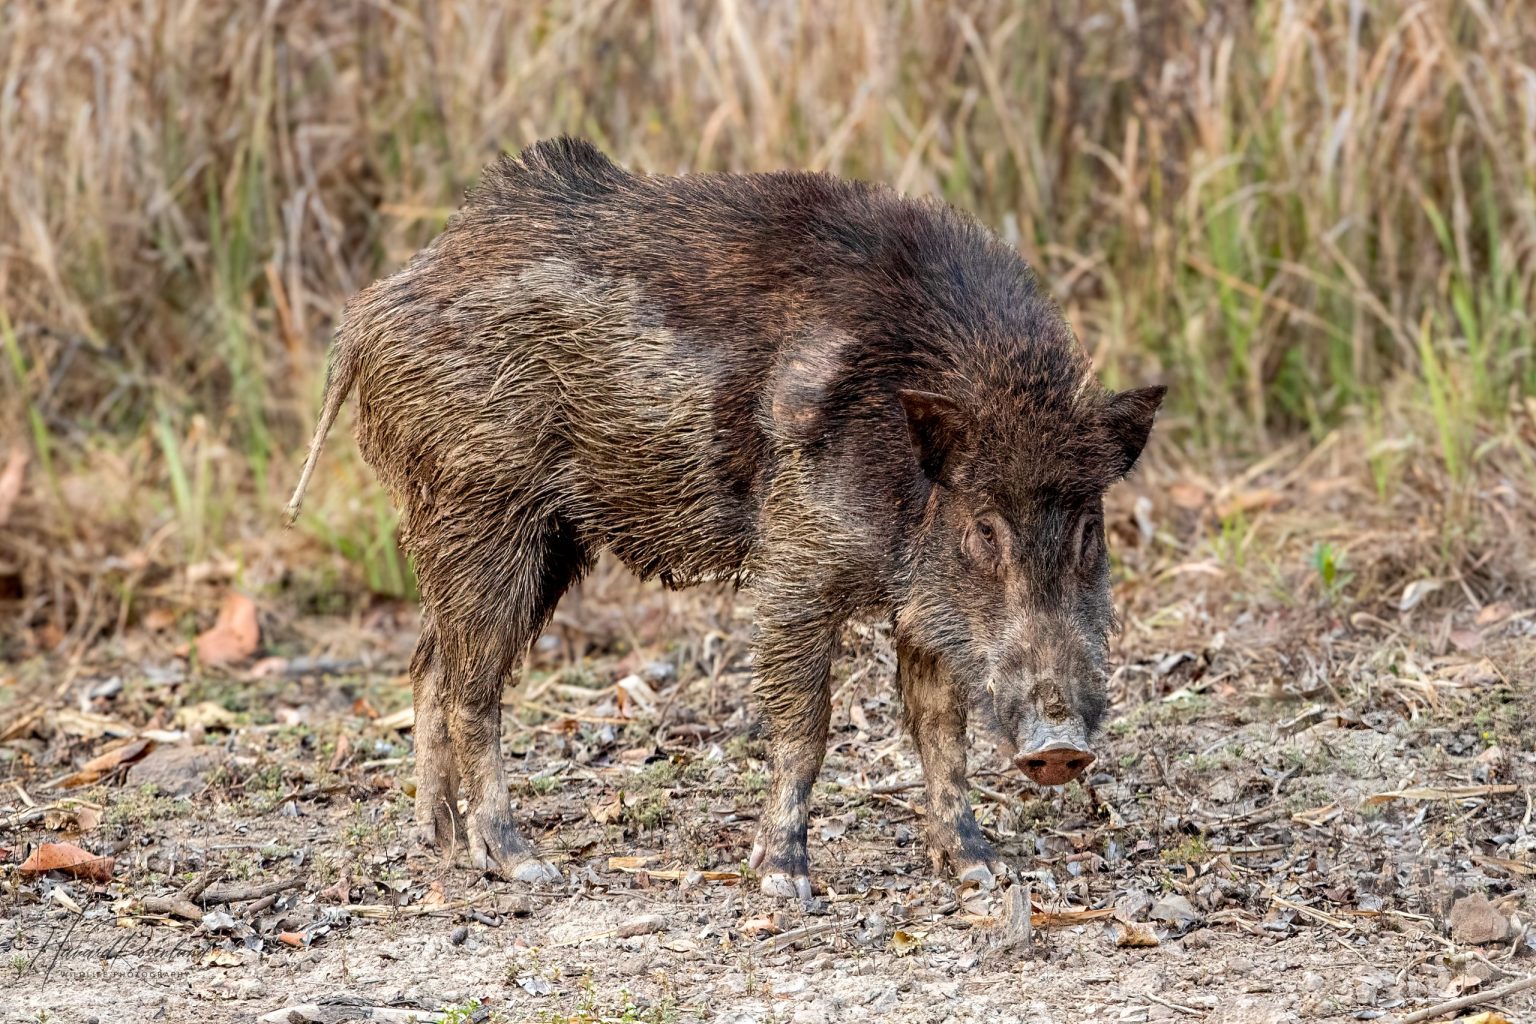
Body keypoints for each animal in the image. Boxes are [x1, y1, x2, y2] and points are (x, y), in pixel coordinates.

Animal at [287, 137, 1165, 898]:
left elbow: (940, 728)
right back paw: (522, 863)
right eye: (984, 527)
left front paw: (982, 870)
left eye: (1090, 530)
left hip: (526, 538)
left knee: (429, 664)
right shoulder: (797, 566)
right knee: (473, 688)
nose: (1060, 748)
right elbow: (806, 726)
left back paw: (440, 845)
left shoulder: (923, 603)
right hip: (483, 511)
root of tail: (370, 311)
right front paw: (784, 880)